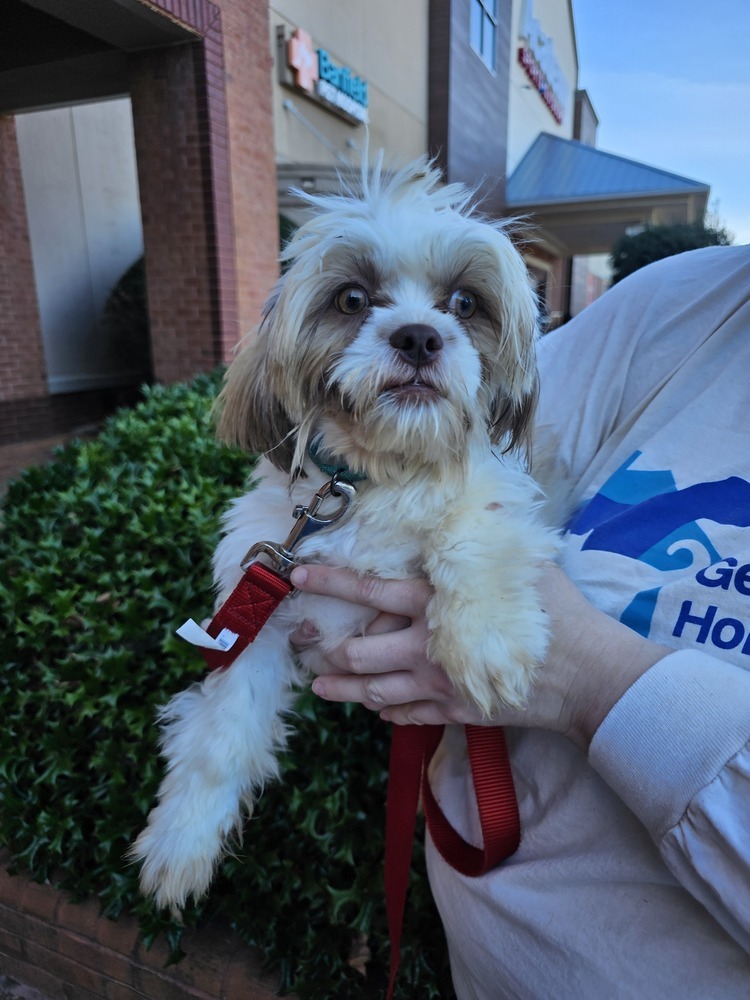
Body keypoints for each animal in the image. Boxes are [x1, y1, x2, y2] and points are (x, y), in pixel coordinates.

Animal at [132, 156, 560, 916]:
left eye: (465, 304)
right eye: (353, 298)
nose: (418, 335)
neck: (380, 478)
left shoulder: (497, 494)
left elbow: (475, 517)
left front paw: (485, 641)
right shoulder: (259, 615)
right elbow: (219, 740)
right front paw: (181, 842)